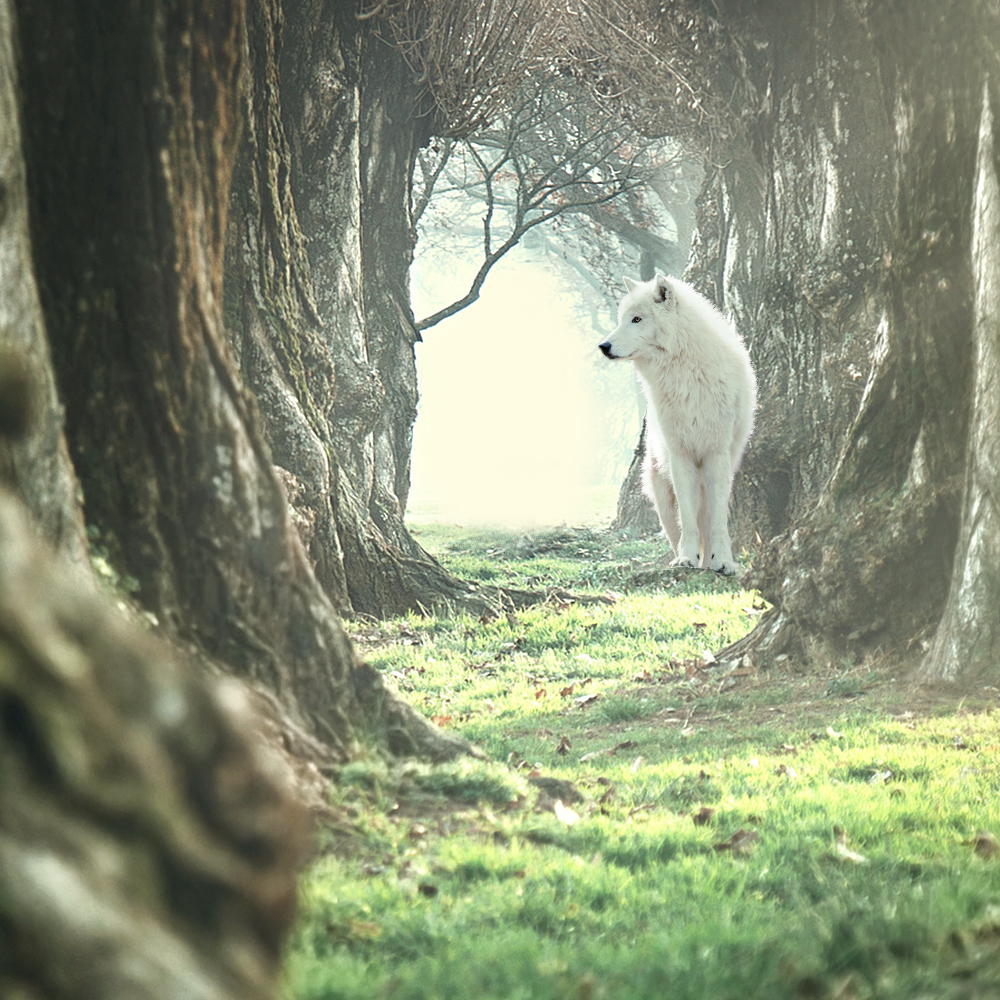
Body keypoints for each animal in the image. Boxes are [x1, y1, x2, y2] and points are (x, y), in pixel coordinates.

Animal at [596, 270, 752, 576]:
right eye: (622, 319)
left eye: (637, 319)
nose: (603, 346)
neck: (684, 373)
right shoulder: (681, 455)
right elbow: (688, 521)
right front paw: (686, 559)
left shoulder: (715, 454)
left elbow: (718, 522)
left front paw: (724, 561)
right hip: (663, 499)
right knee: (679, 527)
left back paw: (710, 562)